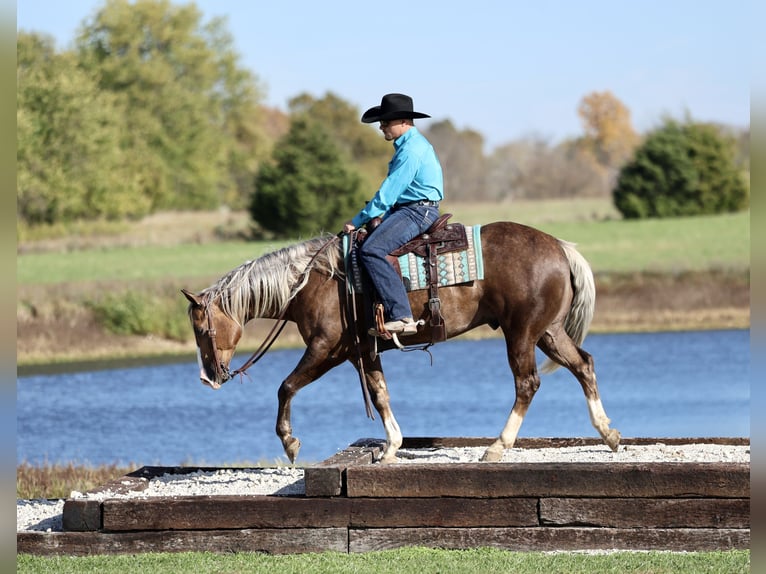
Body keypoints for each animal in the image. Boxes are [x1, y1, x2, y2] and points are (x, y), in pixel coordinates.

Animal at [182, 221, 621, 463]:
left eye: (202, 329)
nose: (207, 378)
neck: (312, 281)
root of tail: (561, 247)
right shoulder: (362, 352)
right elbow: (380, 395)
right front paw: (391, 446)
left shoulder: (326, 350)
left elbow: (286, 386)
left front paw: (290, 442)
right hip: (548, 331)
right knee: (583, 364)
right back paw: (608, 433)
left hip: (522, 333)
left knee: (527, 383)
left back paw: (498, 446)